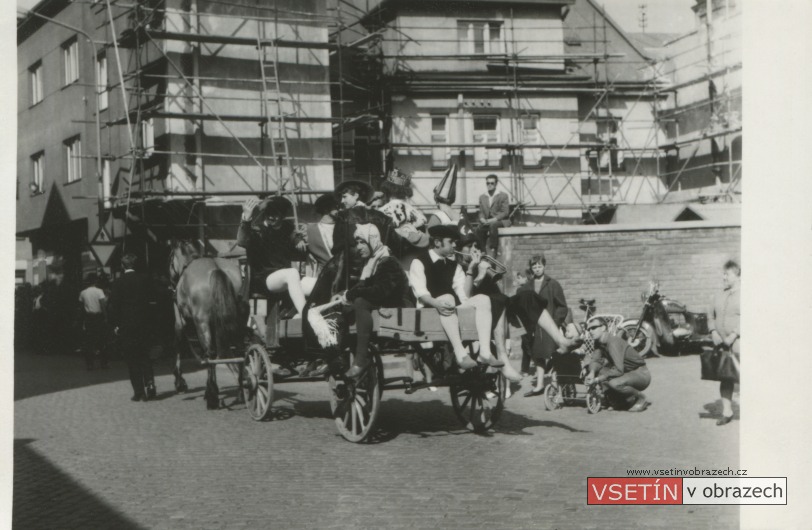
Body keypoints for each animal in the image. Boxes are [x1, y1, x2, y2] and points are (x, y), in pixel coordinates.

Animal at [168, 239, 244, 408]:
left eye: (170, 257)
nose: (171, 280)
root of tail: (216, 269)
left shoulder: (180, 322)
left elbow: (178, 344)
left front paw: (179, 382)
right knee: (240, 352)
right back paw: (243, 390)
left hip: (201, 324)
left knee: (210, 354)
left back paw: (212, 396)